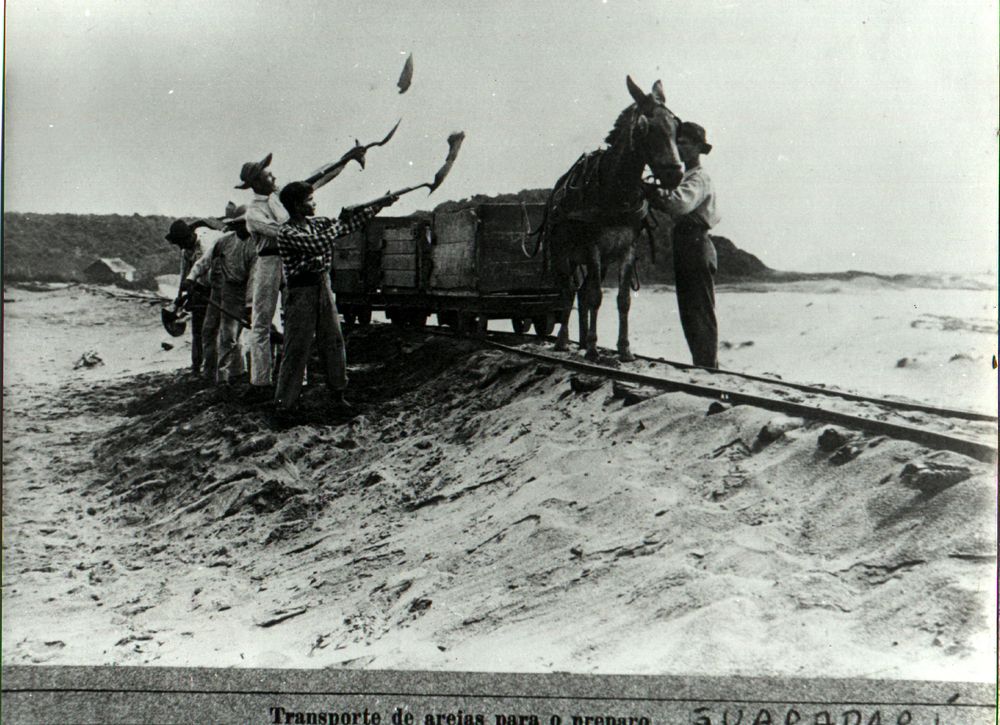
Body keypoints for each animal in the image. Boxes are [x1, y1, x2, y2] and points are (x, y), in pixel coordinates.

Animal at [532, 76, 688, 362]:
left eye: (676, 128)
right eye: (644, 129)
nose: (674, 174)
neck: (617, 191)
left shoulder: (627, 249)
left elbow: (622, 299)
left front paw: (624, 349)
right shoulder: (593, 247)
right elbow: (595, 296)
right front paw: (594, 349)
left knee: (581, 292)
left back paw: (582, 341)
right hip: (563, 254)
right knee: (568, 292)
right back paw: (564, 341)